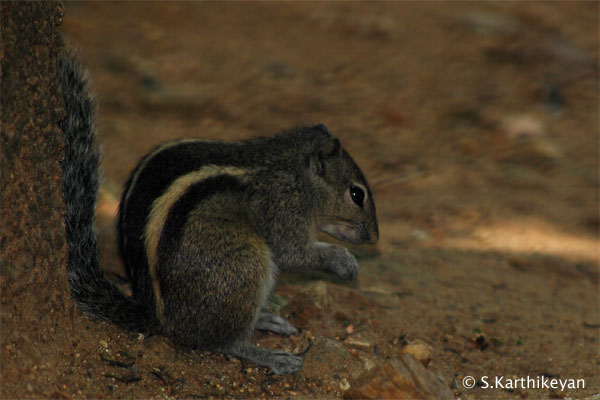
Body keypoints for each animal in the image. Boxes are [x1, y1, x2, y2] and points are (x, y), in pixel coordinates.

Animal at [61, 50, 380, 376]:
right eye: (357, 195)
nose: (374, 237)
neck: (290, 169)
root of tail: (162, 322)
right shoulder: (281, 209)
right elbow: (293, 253)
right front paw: (344, 262)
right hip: (244, 265)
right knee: (224, 342)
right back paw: (271, 356)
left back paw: (266, 320)